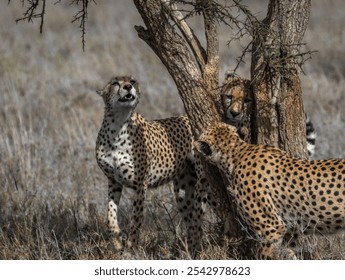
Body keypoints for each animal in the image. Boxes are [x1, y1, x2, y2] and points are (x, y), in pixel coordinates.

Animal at [95, 75, 200, 250]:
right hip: (183, 188)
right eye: (115, 83)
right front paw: (116, 240)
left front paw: (131, 246)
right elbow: (110, 213)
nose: (128, 87)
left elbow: (136, 217)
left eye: (132, 81)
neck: (117, 125)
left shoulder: (140, 183)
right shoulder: (113, 180)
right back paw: (190, 249)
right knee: (191, 221)